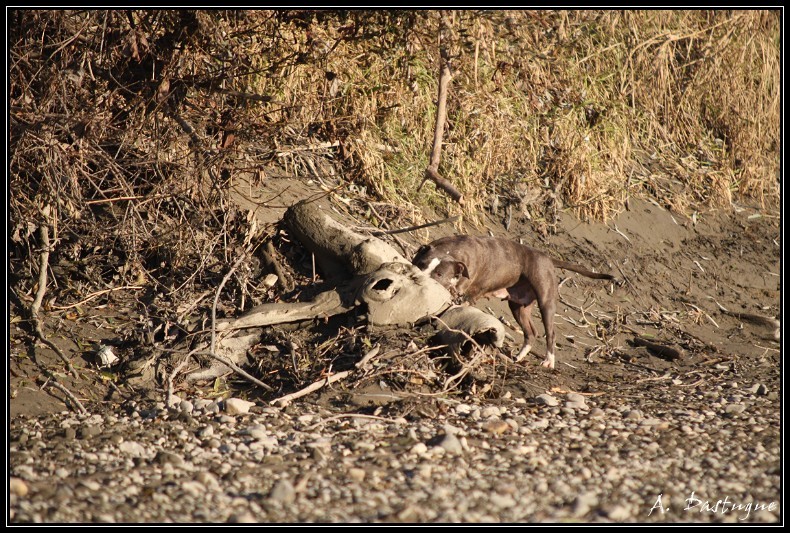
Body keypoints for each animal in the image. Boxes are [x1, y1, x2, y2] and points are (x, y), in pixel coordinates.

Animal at [414, 235, 620, 368]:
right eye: (421, 264)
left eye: (439, 274)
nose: (419, 278)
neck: (452, 252)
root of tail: (547, 257)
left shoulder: (466, 297)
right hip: (518, 306)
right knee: (531, 332)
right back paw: (520, 357)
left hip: (546, 301)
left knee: (550, 333)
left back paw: (548, 361)